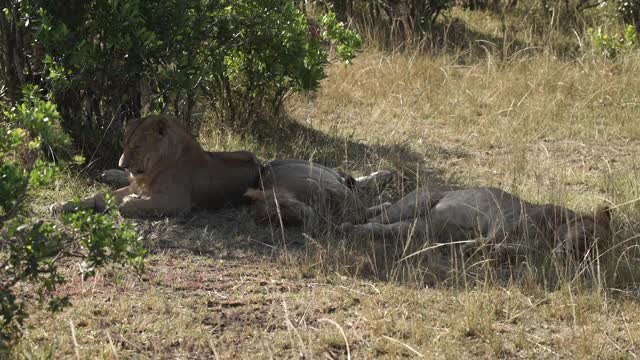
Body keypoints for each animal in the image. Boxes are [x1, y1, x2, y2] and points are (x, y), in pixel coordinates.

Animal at [49, 115, 260, 217]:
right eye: (124, 144)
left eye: (136, 147)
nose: (122, 164)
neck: (155, 166)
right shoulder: (135, 184)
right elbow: (97, 196)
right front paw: (61, 205)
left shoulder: (178, 202)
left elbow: (127, 205)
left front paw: (131, 200)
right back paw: (108, 174)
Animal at [344, 186, 608, 258]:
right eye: (588, 236)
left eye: (601, 247)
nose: (581, 254)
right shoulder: (503, 221)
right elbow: (491, 239)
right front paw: (469, 248)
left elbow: (507, 247)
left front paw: (486, 250)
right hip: (417, 201)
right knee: (374, 217)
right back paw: (349, 225)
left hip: (416, 227)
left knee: (382, 227)